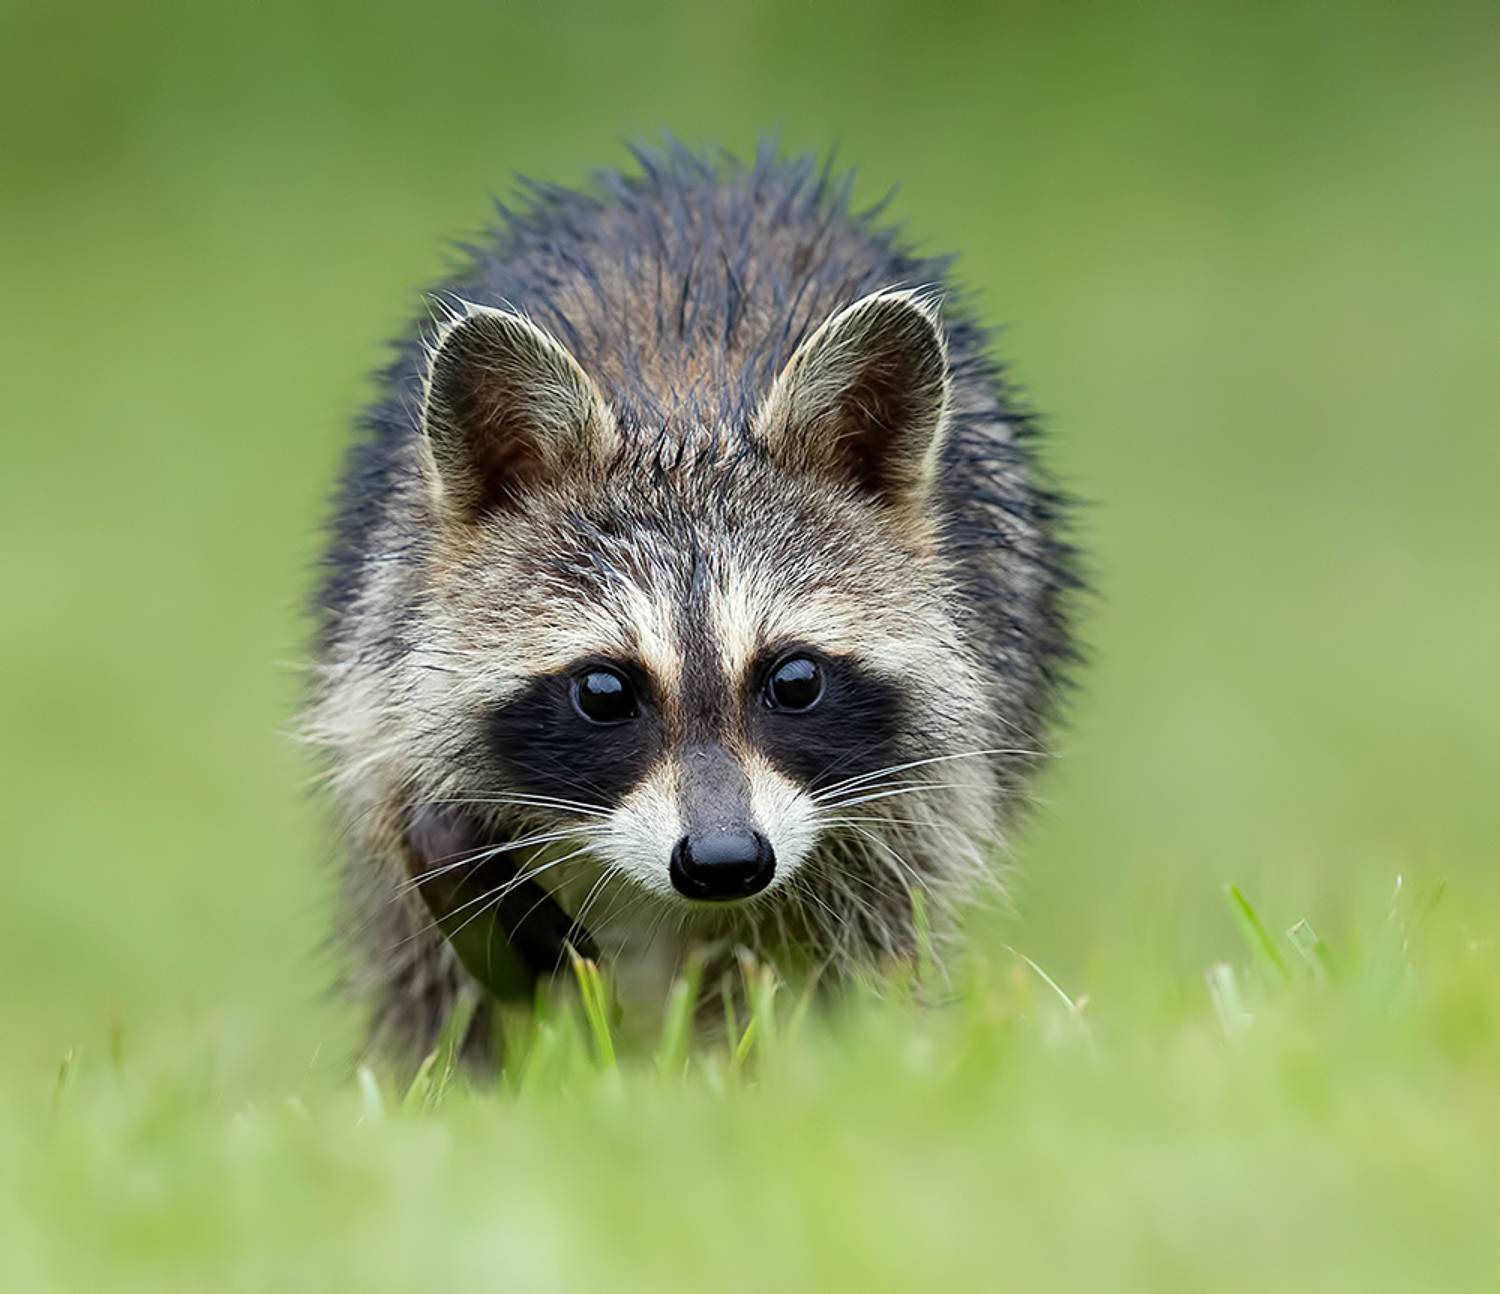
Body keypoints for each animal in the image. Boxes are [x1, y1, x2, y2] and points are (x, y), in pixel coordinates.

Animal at [307, 144, 1077, 1060]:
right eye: (605, 691)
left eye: (795, 681)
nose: (722, 862)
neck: (686, 411)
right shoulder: (384, 645)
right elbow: (420, 871)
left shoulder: (928, 777)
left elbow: (854, 941)